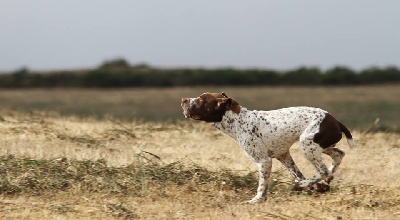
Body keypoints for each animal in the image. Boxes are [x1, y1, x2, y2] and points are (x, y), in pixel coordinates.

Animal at [180, 92, 354, 204]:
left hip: (307, 145)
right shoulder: (283, 156)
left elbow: (262, 185)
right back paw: (325, 179)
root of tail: (336, 121)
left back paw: (306, 184)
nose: (183, 99)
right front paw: (317, 187)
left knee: (323, 170)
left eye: (201, 100)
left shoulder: (263, 161)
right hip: (320, 146)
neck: (237, 122)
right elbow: (298, 175)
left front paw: (256, 200)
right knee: (338, 155)